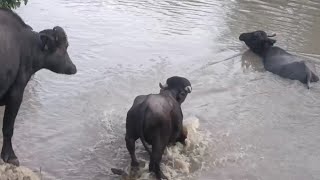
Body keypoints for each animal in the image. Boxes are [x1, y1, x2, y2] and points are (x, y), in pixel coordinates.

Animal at [0, 8, 76, 166]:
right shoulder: (16, 94)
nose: (73, 68)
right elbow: (8, 127)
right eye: (63, 47)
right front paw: (10, 156)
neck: (25, 46)